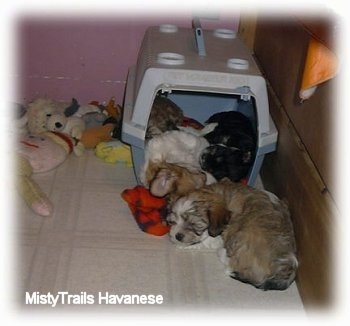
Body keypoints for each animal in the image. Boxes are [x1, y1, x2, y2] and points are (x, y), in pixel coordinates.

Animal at [167, 180, 298, 292]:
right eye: (173, 221)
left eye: (194, 225)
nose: (178, 236)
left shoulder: (221, 234)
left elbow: (205, 241)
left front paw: (182, 245)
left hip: (243, 235)